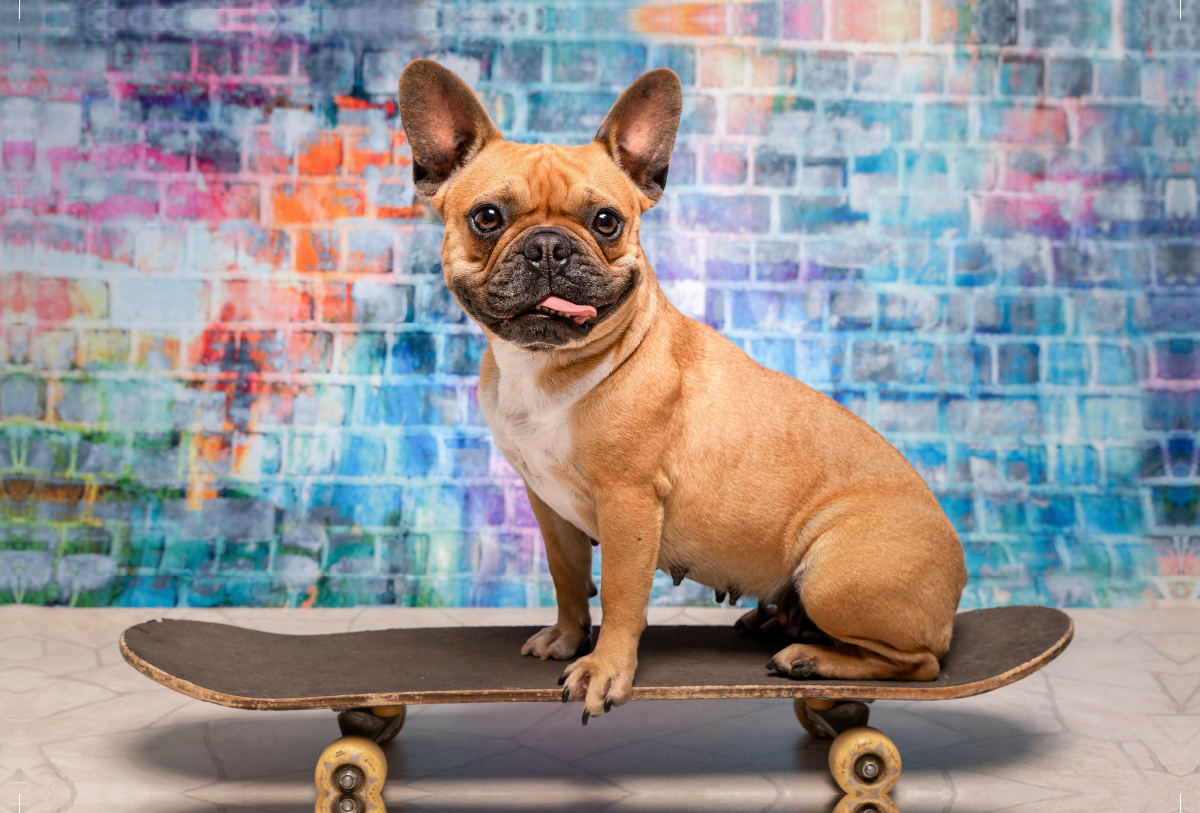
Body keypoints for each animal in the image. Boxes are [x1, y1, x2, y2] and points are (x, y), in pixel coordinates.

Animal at [398, 62, 969, 724]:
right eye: (487, 217)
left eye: (606, 222)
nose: (548, 245)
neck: (550, 366)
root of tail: (956, 580)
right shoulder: (548, 504)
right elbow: (568, 580)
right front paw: (567, 638)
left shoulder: (629, 503)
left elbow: (621, 595)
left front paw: (604, 670)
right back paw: (778, 624)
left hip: (834, 575)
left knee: (921, 665)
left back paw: (810, 657)